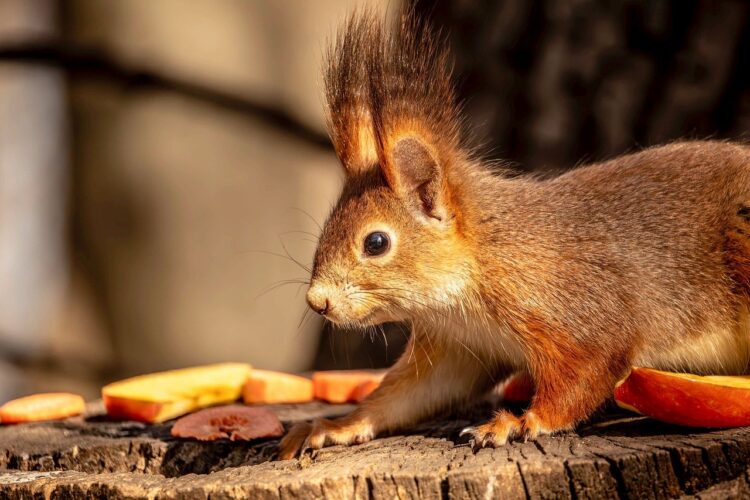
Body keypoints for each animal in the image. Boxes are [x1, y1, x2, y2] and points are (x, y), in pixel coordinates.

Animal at [279, 10, 750, 459]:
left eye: (375, 243)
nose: (317, 302)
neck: (480, 266)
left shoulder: (578, 311)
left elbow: (586, 373)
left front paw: (521, 423)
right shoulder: (460, 348)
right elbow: (408, 395)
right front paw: (335, 427)